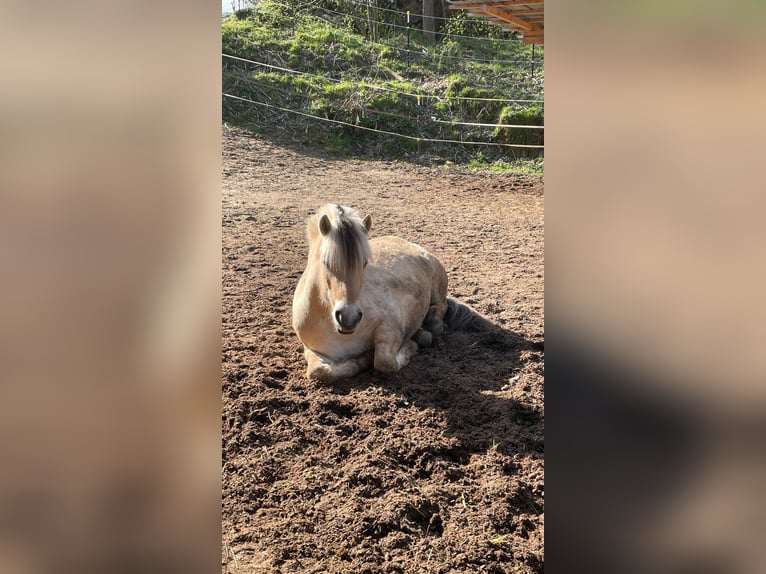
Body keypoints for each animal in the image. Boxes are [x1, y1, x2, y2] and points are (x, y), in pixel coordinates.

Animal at [292, 202, 488, 382]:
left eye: (364, 263)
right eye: (325, 262)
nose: (349, 318)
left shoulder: (391, 327)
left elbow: (384, 362)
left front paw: (402, 348)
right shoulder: (312, 349)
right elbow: (318, 372)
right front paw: (360, 360)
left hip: (437, 292)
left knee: (436, 317)